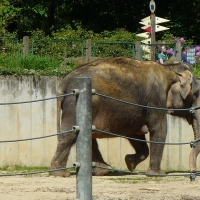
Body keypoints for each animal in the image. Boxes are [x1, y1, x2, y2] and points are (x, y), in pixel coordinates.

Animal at [49, 56, 200, 177]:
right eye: (196, 94)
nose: (192, 173)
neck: (170, 69)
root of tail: (64, 82)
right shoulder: (156, 99)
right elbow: (159, 129)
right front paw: (157, 174)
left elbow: (135, 133)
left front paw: (130, 163)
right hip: (75, 103)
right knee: (70, 134)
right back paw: (61, 173)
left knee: (87, 134)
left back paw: (103, 170)